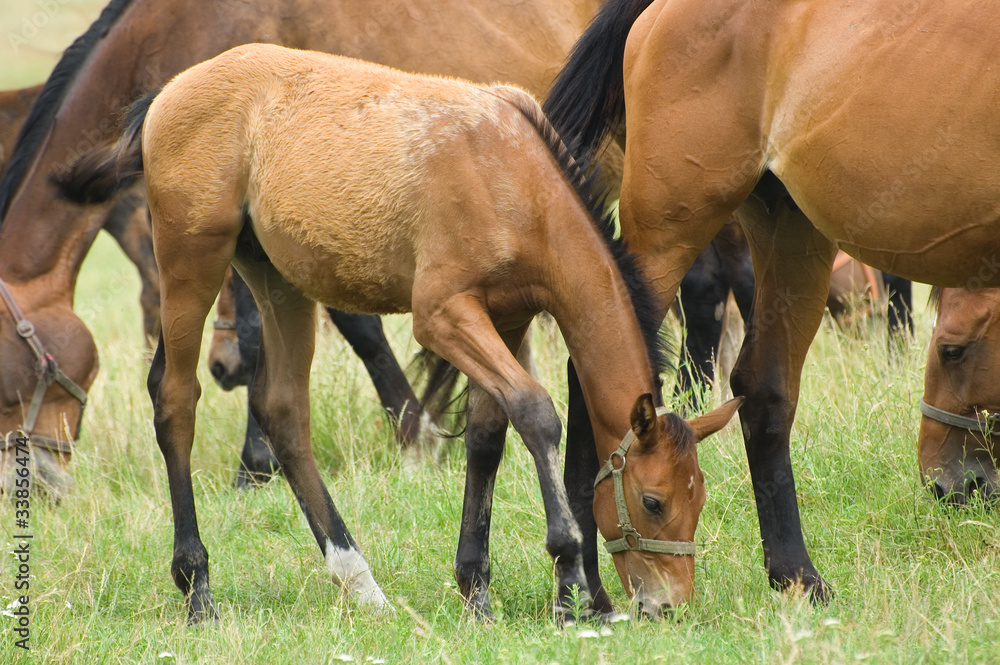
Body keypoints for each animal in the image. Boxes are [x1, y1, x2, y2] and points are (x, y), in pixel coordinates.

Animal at [59, 44, 741, 622]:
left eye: (699, 499)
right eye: (653, 501)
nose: (668, 604)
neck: (514, 178)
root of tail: (168, 93)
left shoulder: (507, 318)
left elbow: (489, 435)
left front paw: (476, 589)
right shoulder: (443, 315)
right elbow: (536, 413)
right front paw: (571, 582)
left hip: (279, 282)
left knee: (283, 411)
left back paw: (360, 582)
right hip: (190, 264)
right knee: (176, 400)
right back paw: (198, 589)